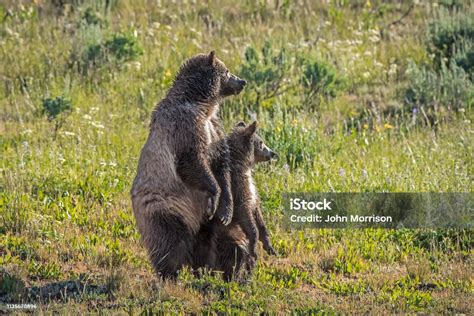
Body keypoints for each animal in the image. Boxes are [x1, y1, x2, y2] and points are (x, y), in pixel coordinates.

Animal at [131, 50, 246, 278]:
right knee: (170, 242)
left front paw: (226, 210)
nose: (242, 81)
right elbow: (192, 161)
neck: (201, 105)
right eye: (227, 70)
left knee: (213, 240)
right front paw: (215, 193)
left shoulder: (214, 129)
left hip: (202, 220)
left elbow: (222, 166)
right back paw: (169, 273)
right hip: (165, 206)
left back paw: (211, 269)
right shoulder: (185, 126)